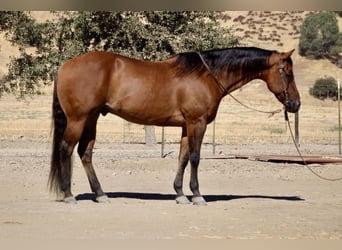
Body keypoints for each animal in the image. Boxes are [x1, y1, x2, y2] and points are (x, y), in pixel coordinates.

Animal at [48, 47, 300, 205]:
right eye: (287, 73)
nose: (296, 104)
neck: (207, 75)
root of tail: (64, 66)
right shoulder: (197, 123)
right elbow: (196, 158)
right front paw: (197, 195)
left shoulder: (186, 127)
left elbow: (183, 158)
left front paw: (180, 194)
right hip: (78, 119)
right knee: (66, 149)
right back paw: (68, 194)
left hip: (91, 119)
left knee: (85, 153)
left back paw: (100, 194)